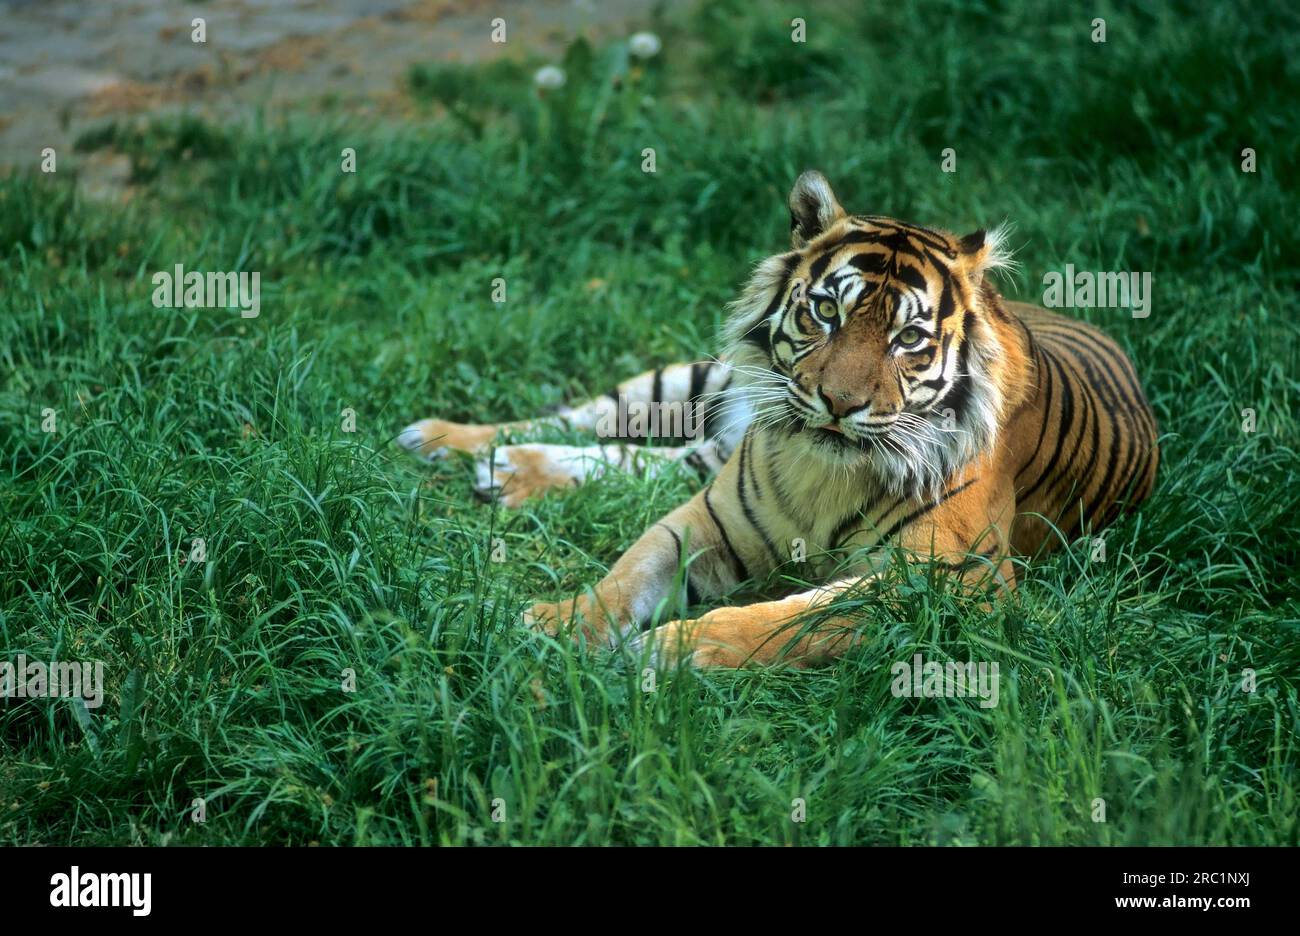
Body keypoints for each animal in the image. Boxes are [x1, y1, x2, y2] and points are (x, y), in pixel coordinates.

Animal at [397, 174, 1159, 665]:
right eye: (826, 310)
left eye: (909, 339)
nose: (840, 402)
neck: (827, 470)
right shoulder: (707, 517)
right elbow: (625, 574)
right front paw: (557, 623)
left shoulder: (958, 580)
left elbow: (796, 617)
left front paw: (669, 651)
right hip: (695, 381)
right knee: (585, 418)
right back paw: (445, 440)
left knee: (632, 457)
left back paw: (498, 469)